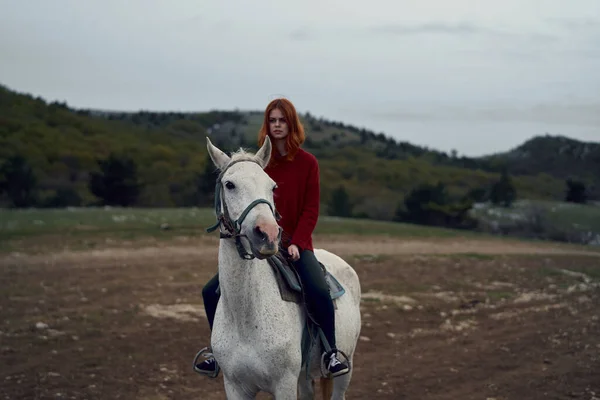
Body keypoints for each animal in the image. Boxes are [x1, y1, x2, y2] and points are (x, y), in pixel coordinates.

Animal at [204, 136, 360, 398]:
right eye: (229, 184)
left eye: (272, 187)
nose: (267, 234)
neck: (246, 316)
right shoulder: (235, 386)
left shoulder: (284, 384)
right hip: (305, 378)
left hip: (344, 372)